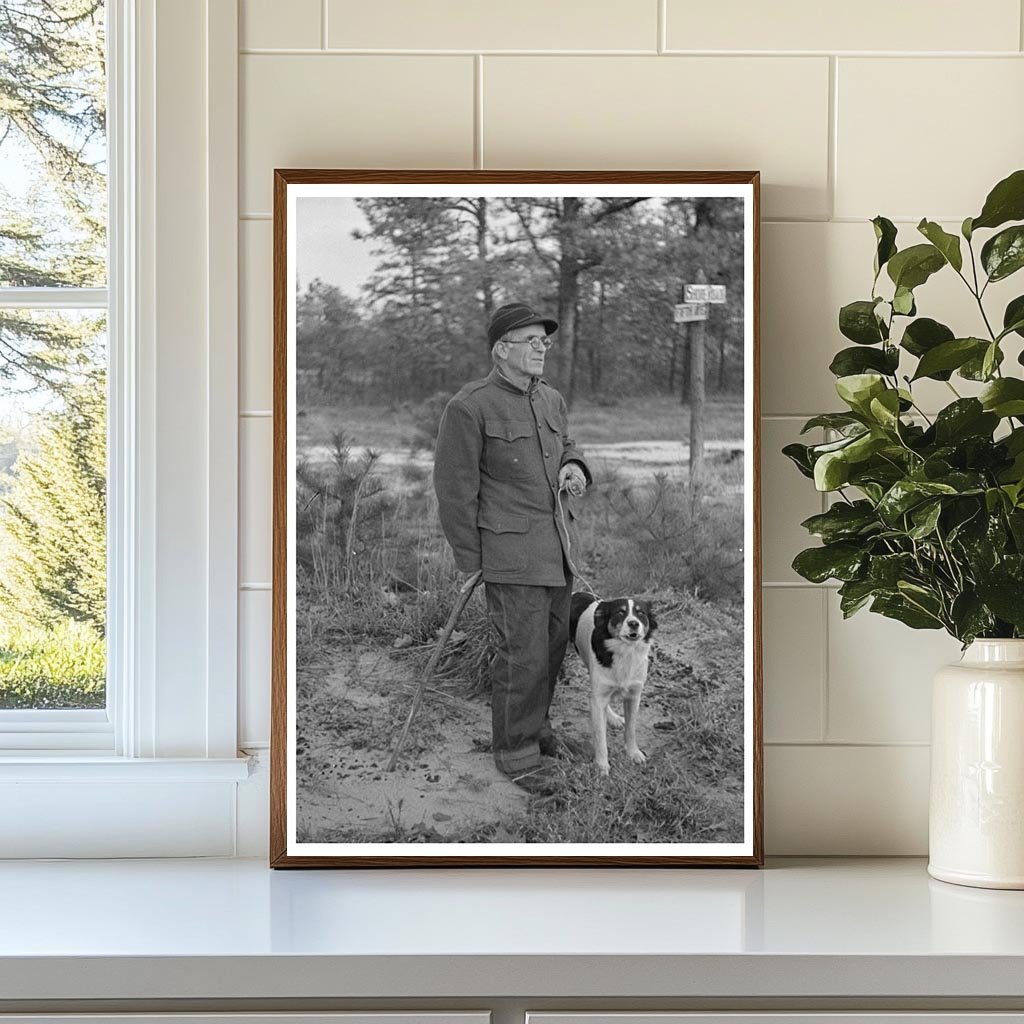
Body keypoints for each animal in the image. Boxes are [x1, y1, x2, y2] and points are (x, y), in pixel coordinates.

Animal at [569, 593, 655, 774]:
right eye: (620, 613)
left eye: (641, 613)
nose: (634, 623)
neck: (626, 652)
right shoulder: (599, 696)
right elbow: (600, 737)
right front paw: (602, 766)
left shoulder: (633, 696)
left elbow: (631, 729)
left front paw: (633, 753)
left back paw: (613, 717)